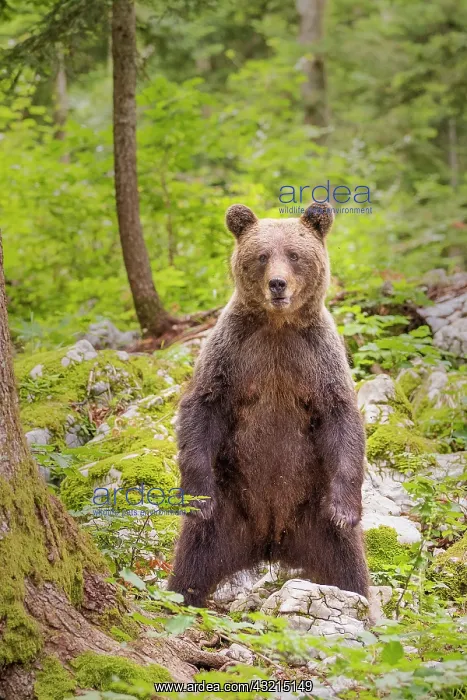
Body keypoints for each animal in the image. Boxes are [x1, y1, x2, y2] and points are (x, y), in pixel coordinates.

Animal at [168, 201, 369, 607]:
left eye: (293, 254)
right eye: (262, 255)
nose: (278, 283)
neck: (278, 326)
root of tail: (271, 541)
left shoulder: (318, 358)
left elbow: (342, 418)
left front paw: (345, 509)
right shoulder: (232, 352)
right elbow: (203, 406)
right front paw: (198, 497)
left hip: (315, 513)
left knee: (347, 564)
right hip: (229, 508)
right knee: (194, 556)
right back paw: (179, 597)